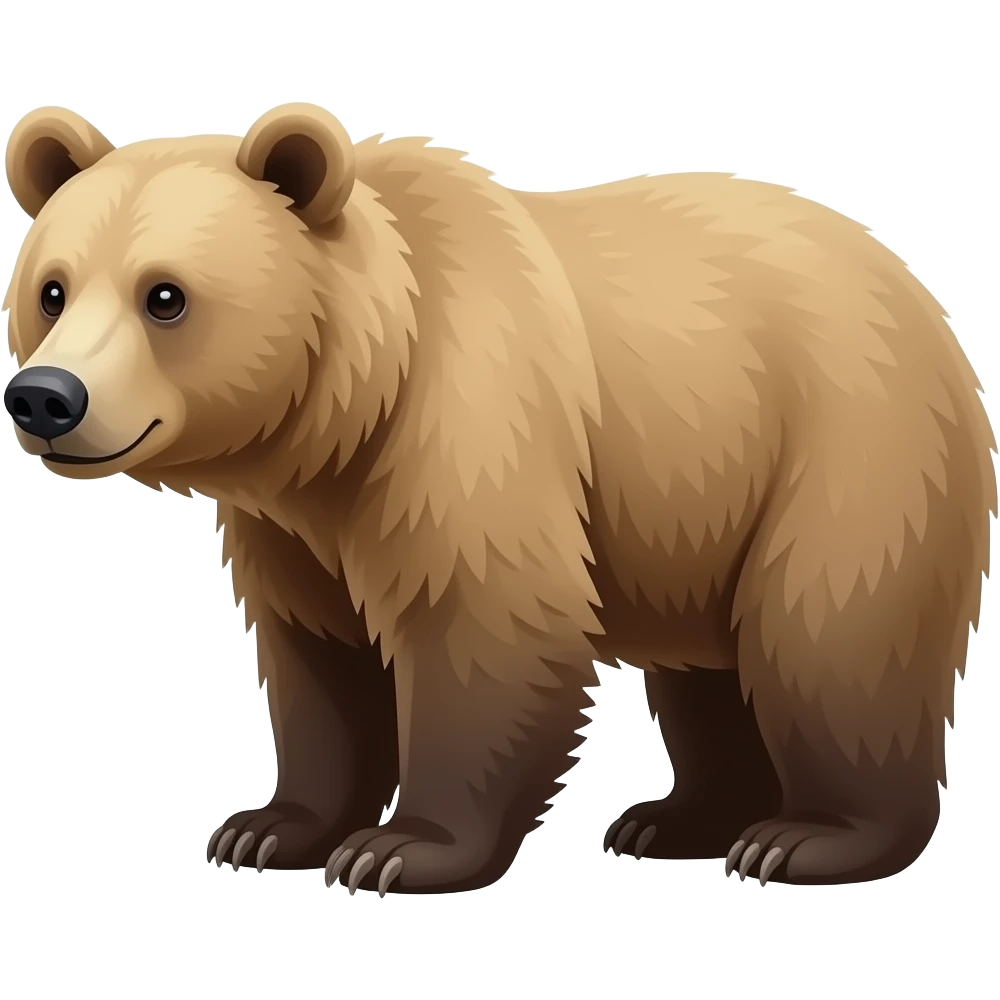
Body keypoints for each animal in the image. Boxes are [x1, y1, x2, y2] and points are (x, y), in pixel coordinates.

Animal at [3, 103, 996, 894]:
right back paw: (678, 820)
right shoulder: (292, 523)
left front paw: (400, 849)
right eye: (51, 289)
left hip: (849, 445)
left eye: (165, 296)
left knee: (825, 633)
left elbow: (483, 623)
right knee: (707, 665)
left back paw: (809, 838)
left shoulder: (468, 423)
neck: (349, 406)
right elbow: (317, 654)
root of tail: (919, 289)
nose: (46, 396)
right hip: (706, 498)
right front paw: (269, 827)